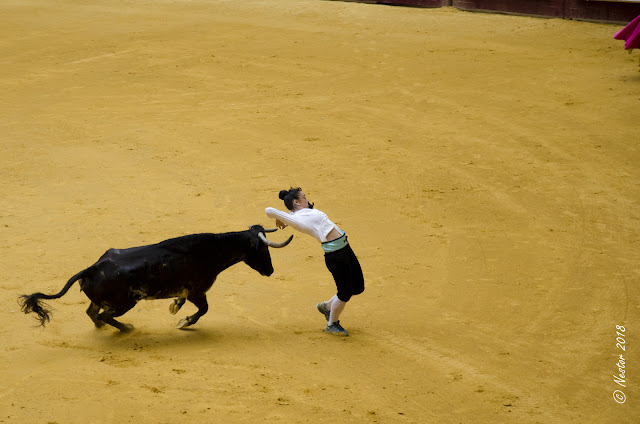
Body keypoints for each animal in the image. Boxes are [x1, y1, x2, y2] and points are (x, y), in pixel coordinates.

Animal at [17, 225, 292, 332]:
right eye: (262, 250)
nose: (270, 271)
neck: (210, 251)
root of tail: (90, 269)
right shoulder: (198, 291)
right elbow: (203, 310)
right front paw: (183, 321)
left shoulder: (189, 291)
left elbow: (186, 302)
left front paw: (175, 307)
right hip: (125, 303)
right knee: (105, 315)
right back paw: (126, 328)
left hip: (105, 300)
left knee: (92, 313)